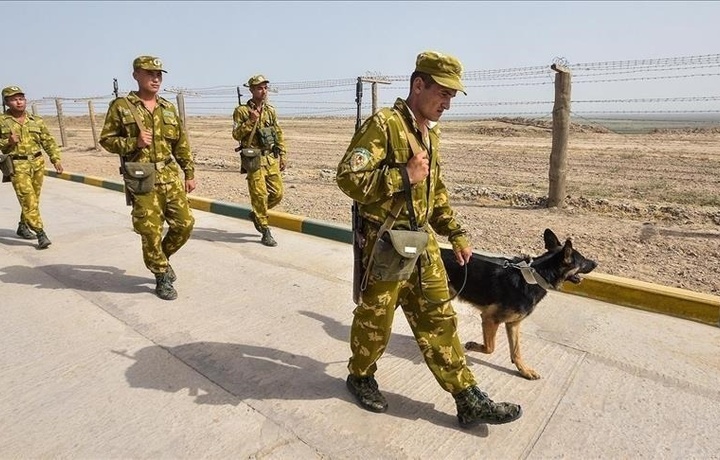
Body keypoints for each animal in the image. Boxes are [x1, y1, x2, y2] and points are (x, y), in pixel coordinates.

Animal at [442, 228, 600, 380]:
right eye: (583, 260)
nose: (596, 263)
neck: (536, 276)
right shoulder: (489, 319)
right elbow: (490, 348)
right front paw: (473, 345)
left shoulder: (513, 323)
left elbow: (516, 351)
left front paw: (524, 370)